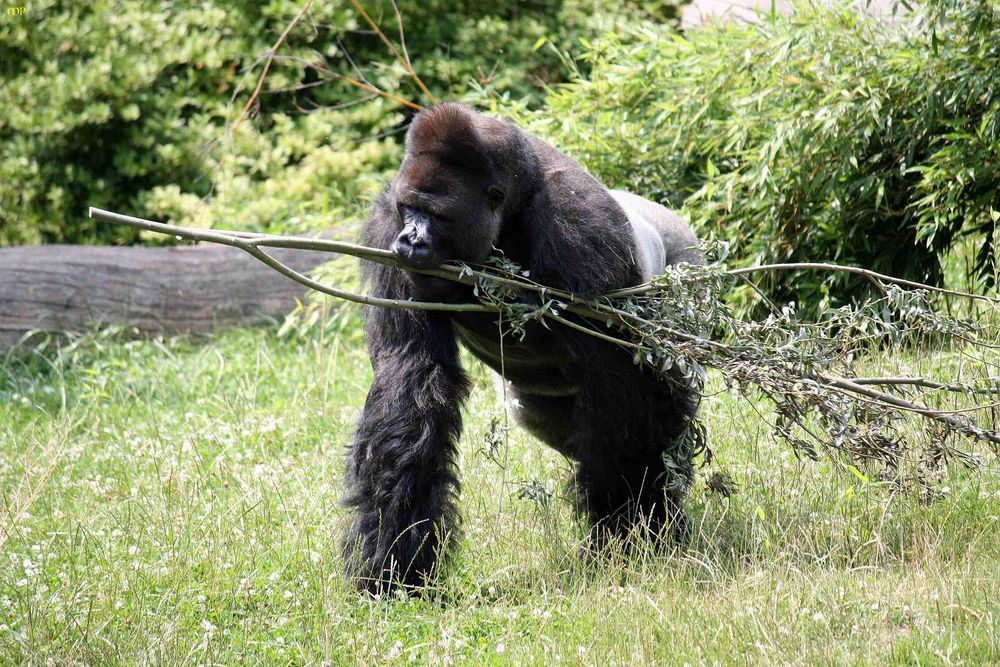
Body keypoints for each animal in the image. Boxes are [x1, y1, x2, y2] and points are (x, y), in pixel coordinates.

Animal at [344, 104, 704, 596]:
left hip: (687, 266)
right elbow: (411, 379)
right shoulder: (385, 230)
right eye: (409, 209)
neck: (512, 207)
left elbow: (620, 388)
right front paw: (394, 560)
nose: (411, 241)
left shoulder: (586, 234)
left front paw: (629, 538)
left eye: (437, 215)